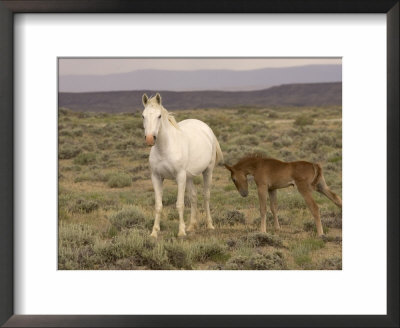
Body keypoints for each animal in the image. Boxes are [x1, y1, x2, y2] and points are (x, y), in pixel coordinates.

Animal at [141, 93, 223, 237]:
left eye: (159, 116)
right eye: (143, 116)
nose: (150, 139)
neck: (165, 148)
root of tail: (206, 128)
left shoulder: (179, 177)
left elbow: (179, 204)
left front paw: (181, 232)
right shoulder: (156, 177)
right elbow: (158, 205)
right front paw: (154, 232)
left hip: (208, 171)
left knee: (206, 196)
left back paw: (209, 225)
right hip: (189, 177)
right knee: (194, 197)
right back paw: (191, 226)